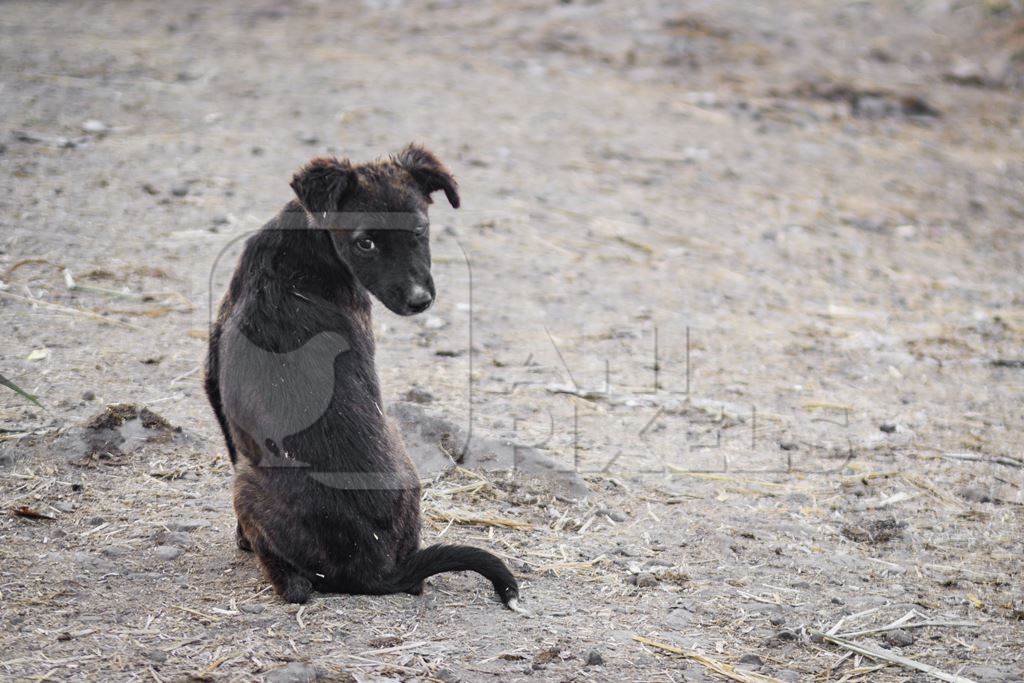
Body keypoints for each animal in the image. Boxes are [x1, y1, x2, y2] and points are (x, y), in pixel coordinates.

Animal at [202, 144, 520, 610]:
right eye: (365, 242)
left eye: (420, 229)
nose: (420, 301)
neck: (310, 245)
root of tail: (377, 568)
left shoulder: (213, 381)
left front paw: (239, 539)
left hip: (247, 482)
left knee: (295, 587)